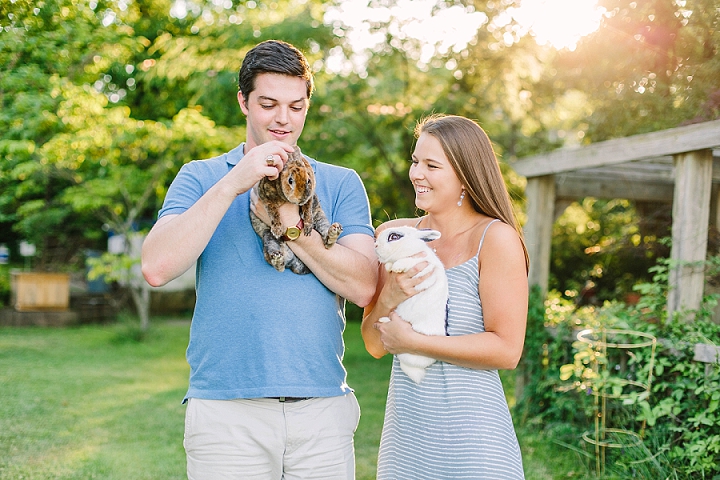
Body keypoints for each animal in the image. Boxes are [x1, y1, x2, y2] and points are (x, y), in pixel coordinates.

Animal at [250, 146, 344, 274]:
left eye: (308, 180)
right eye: (290, 180)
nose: (301, 198)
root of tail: (294, 262)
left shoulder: (310, 197)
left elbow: (308, 209)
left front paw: (308, 226)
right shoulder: (266, 197)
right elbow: (273, 211)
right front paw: (277, 229)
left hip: (320, 219)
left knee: (327, 239)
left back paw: (334, 232)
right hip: (269, 238)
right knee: (276, 261)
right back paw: (277, 258)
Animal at [374, 224, 448, 382]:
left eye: (394, 236)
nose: (375, 245)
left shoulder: (422, 267)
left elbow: (407, 262)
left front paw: (397, 267)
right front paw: (390, 267)